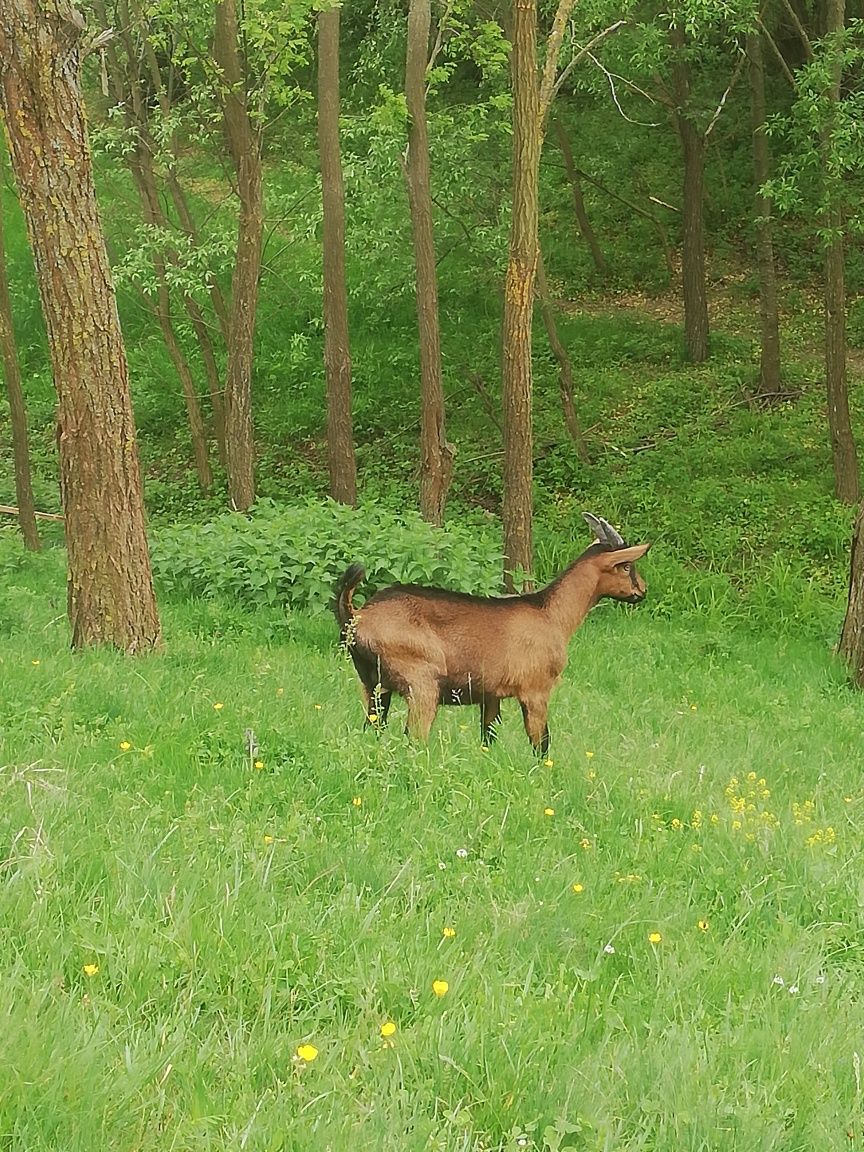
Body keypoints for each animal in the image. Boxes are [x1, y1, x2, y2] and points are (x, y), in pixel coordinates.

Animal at [334, 513, 654, 755]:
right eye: (626, 565)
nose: (642, 590)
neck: (551, 614)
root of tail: (358, 616)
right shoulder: (536, 690)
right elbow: (542, 744)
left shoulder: (491, 695)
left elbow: (488, 737)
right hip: (421, 682)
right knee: (414, 738)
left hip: (372, 684)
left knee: (372, 727)